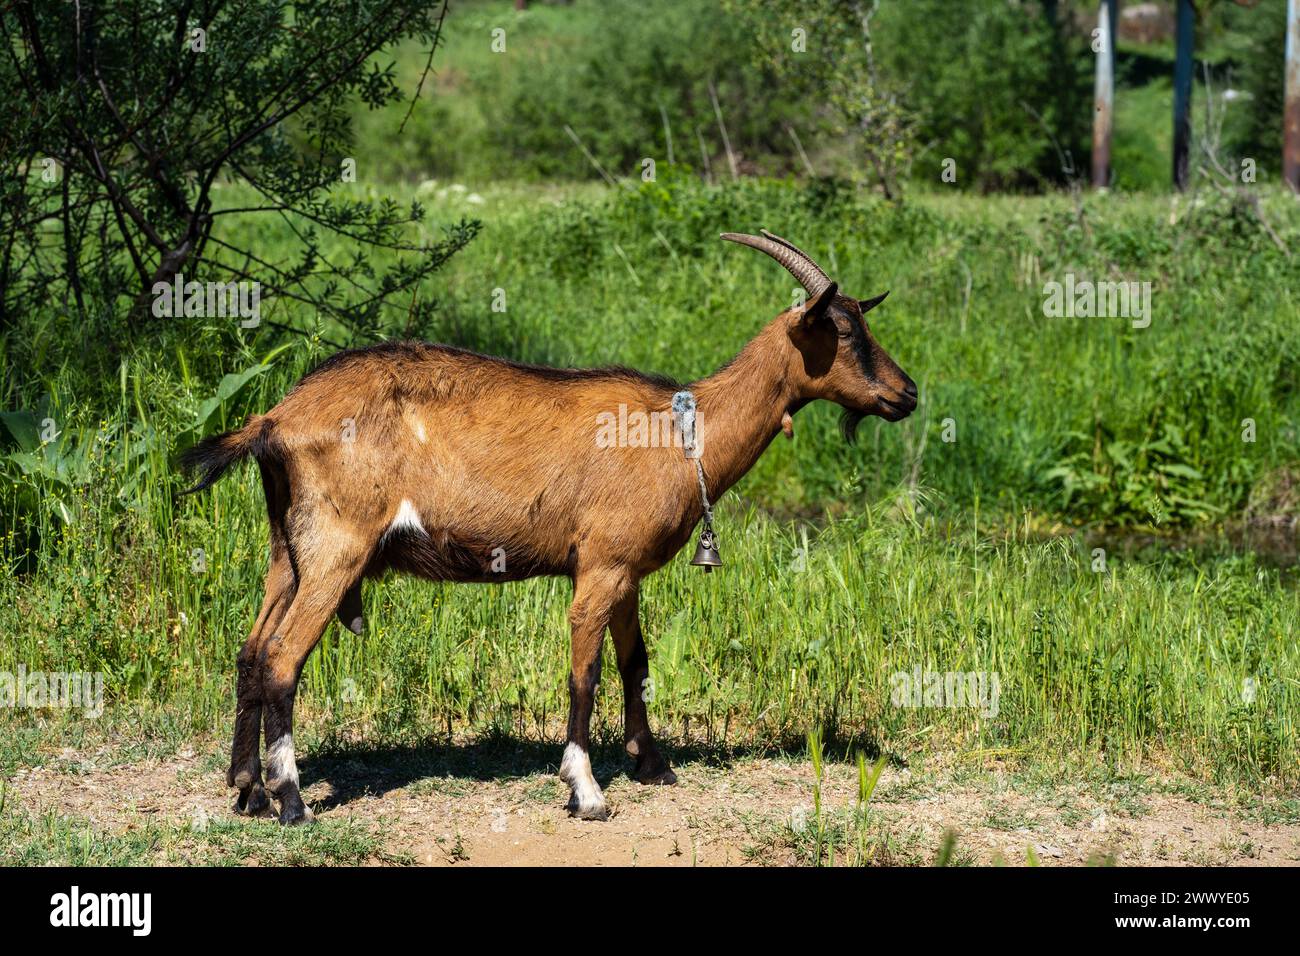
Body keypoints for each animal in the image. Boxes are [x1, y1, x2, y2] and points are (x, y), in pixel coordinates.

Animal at [183, 231, 915, 822]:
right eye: (843, 332)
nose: (907, 394)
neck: (683, 435)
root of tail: (275, 419)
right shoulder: (600, 566)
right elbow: (584, 674)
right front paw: (585, 791)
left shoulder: (624, 571)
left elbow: (635, 662)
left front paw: (652, 765)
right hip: (338, 546)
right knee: (282, 658)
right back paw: (291, 801)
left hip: (289, 548)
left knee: (251, 650)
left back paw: (247, 790)